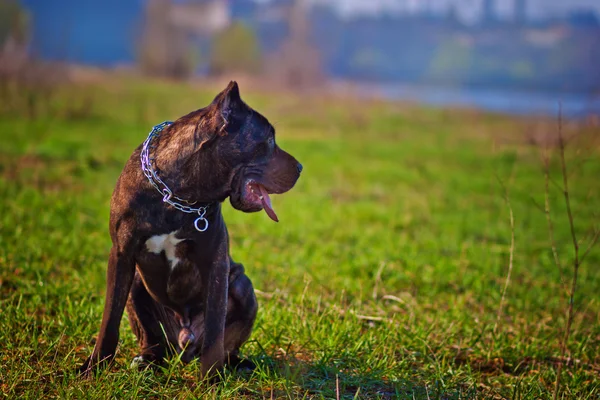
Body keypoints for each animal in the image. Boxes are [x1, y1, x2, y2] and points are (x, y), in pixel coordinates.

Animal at [79, 82, 302, 378]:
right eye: (268, 141)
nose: (300, 167)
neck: (177, 194)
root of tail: (184, 341)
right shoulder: (122, 255)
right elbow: (109, 322)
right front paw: (93, 367)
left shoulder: (216, 264)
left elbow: (215, 331)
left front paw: (211, 379)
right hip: (138, 284)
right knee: (153, 341)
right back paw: (147, 361)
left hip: (241, 284)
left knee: (225, 344)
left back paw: (236, 364)